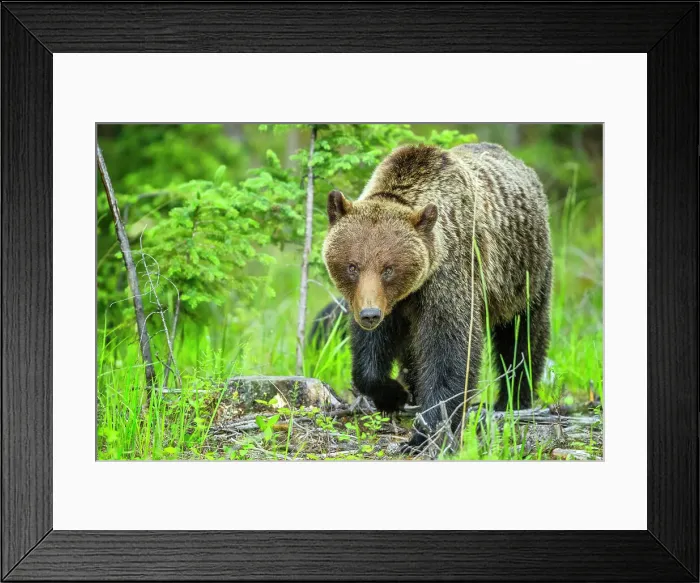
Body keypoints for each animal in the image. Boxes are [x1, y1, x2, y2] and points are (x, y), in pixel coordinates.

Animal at [322, 142, 553, 449]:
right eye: (352, 266)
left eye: (388, 268)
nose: (369, 314)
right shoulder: (386, 303)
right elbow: (370, 354)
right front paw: (394, 394)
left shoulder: (449, 276)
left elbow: (450, 349)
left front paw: (426, 430)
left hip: (523, 272)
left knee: (523, 335)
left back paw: (513, 400)